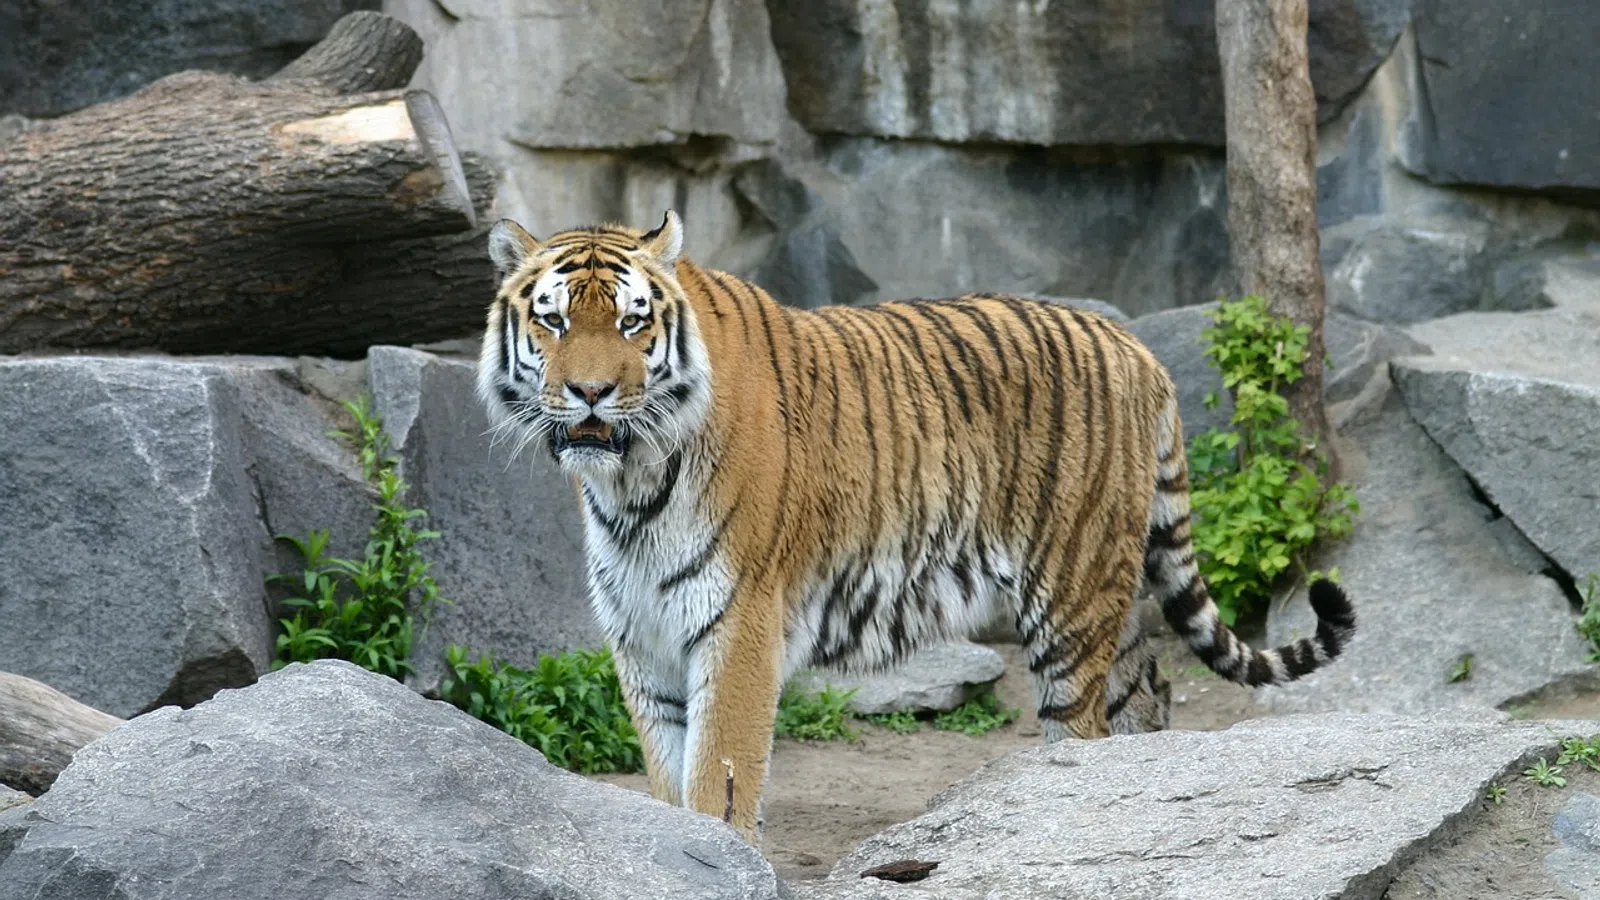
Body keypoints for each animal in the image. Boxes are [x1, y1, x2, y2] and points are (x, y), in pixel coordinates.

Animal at [476, 210, 1357, 844]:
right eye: (554, 322)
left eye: (632, 324)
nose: (591, 394)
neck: (629, 483)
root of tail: (1134, 344)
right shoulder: (642, 636)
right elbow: (666, 779)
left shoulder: (738, 625)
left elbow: (718, 779)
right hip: (1121, 592)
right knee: (1151, 698)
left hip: (1070, 600)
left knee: (1081, 730)